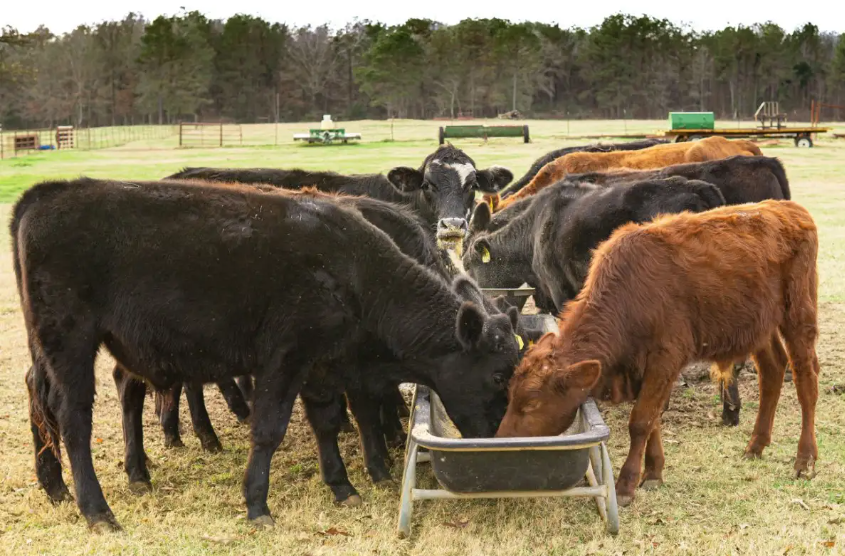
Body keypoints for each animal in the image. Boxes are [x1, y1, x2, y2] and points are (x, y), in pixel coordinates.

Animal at [14, 178, 520, 530]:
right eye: (498, 375)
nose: (500, 436)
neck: (354, 269)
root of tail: (43, 195)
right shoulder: (286, 357)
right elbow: (269, 429)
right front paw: (258, 504)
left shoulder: (321, 365)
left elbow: (327, 423)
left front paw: (343, 486)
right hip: (71, 345)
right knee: (73, 418)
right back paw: (97, 510)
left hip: (58, 349)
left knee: (47, 396)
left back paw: (63, 484)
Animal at [496, 201, 820, 509]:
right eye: (511, 395)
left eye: (532, 403)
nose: (502, 439)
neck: (631, 296)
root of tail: (789, 209)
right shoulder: (641, 369)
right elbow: (652, 422)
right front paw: (653, 472)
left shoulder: (665, 360)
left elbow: (641, 421)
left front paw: (626, 485)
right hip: (759, 327)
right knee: (773, 371)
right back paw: (756, 445)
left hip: (798, 314)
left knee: (806, 380)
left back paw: (804, 459)